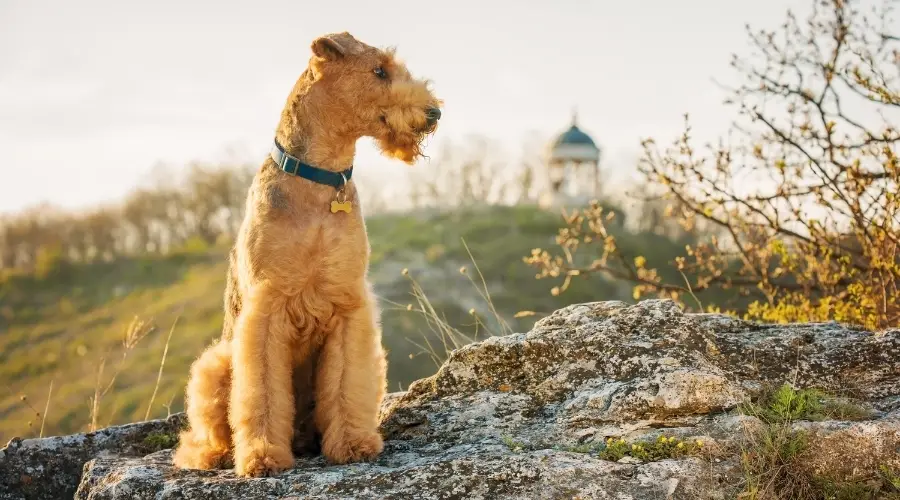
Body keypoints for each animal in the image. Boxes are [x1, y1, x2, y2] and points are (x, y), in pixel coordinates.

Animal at [171, 31, 442, 476]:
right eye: (379, 70)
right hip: (216, 364)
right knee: (205, 432)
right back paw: (214, 454)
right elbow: (261, 392)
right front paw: (263, 456)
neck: (321, 182)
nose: (434, 112)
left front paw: (352, 443)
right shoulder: (267, 308)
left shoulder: (348, 304)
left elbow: (347, 384)